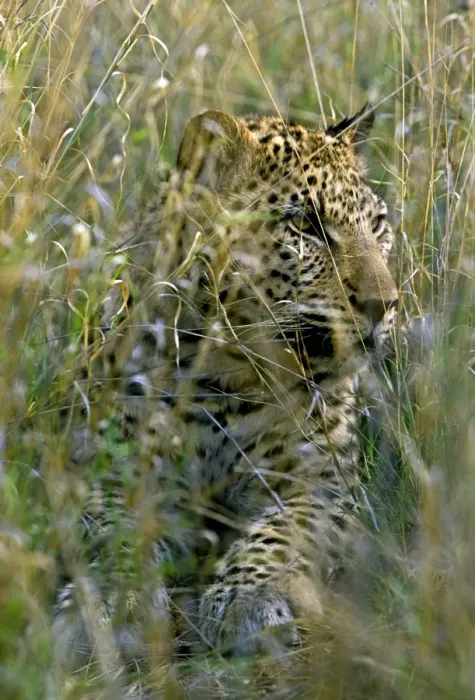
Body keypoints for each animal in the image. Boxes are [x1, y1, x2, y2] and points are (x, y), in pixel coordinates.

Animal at [56, 102, 399, 675]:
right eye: (306, 225)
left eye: (377, 225)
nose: (385, 304)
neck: (227, 375)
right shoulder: (105, 467)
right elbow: (113, 528)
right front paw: (113, 601)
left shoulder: (324, 482)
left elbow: (282, 534)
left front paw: (247, 600)